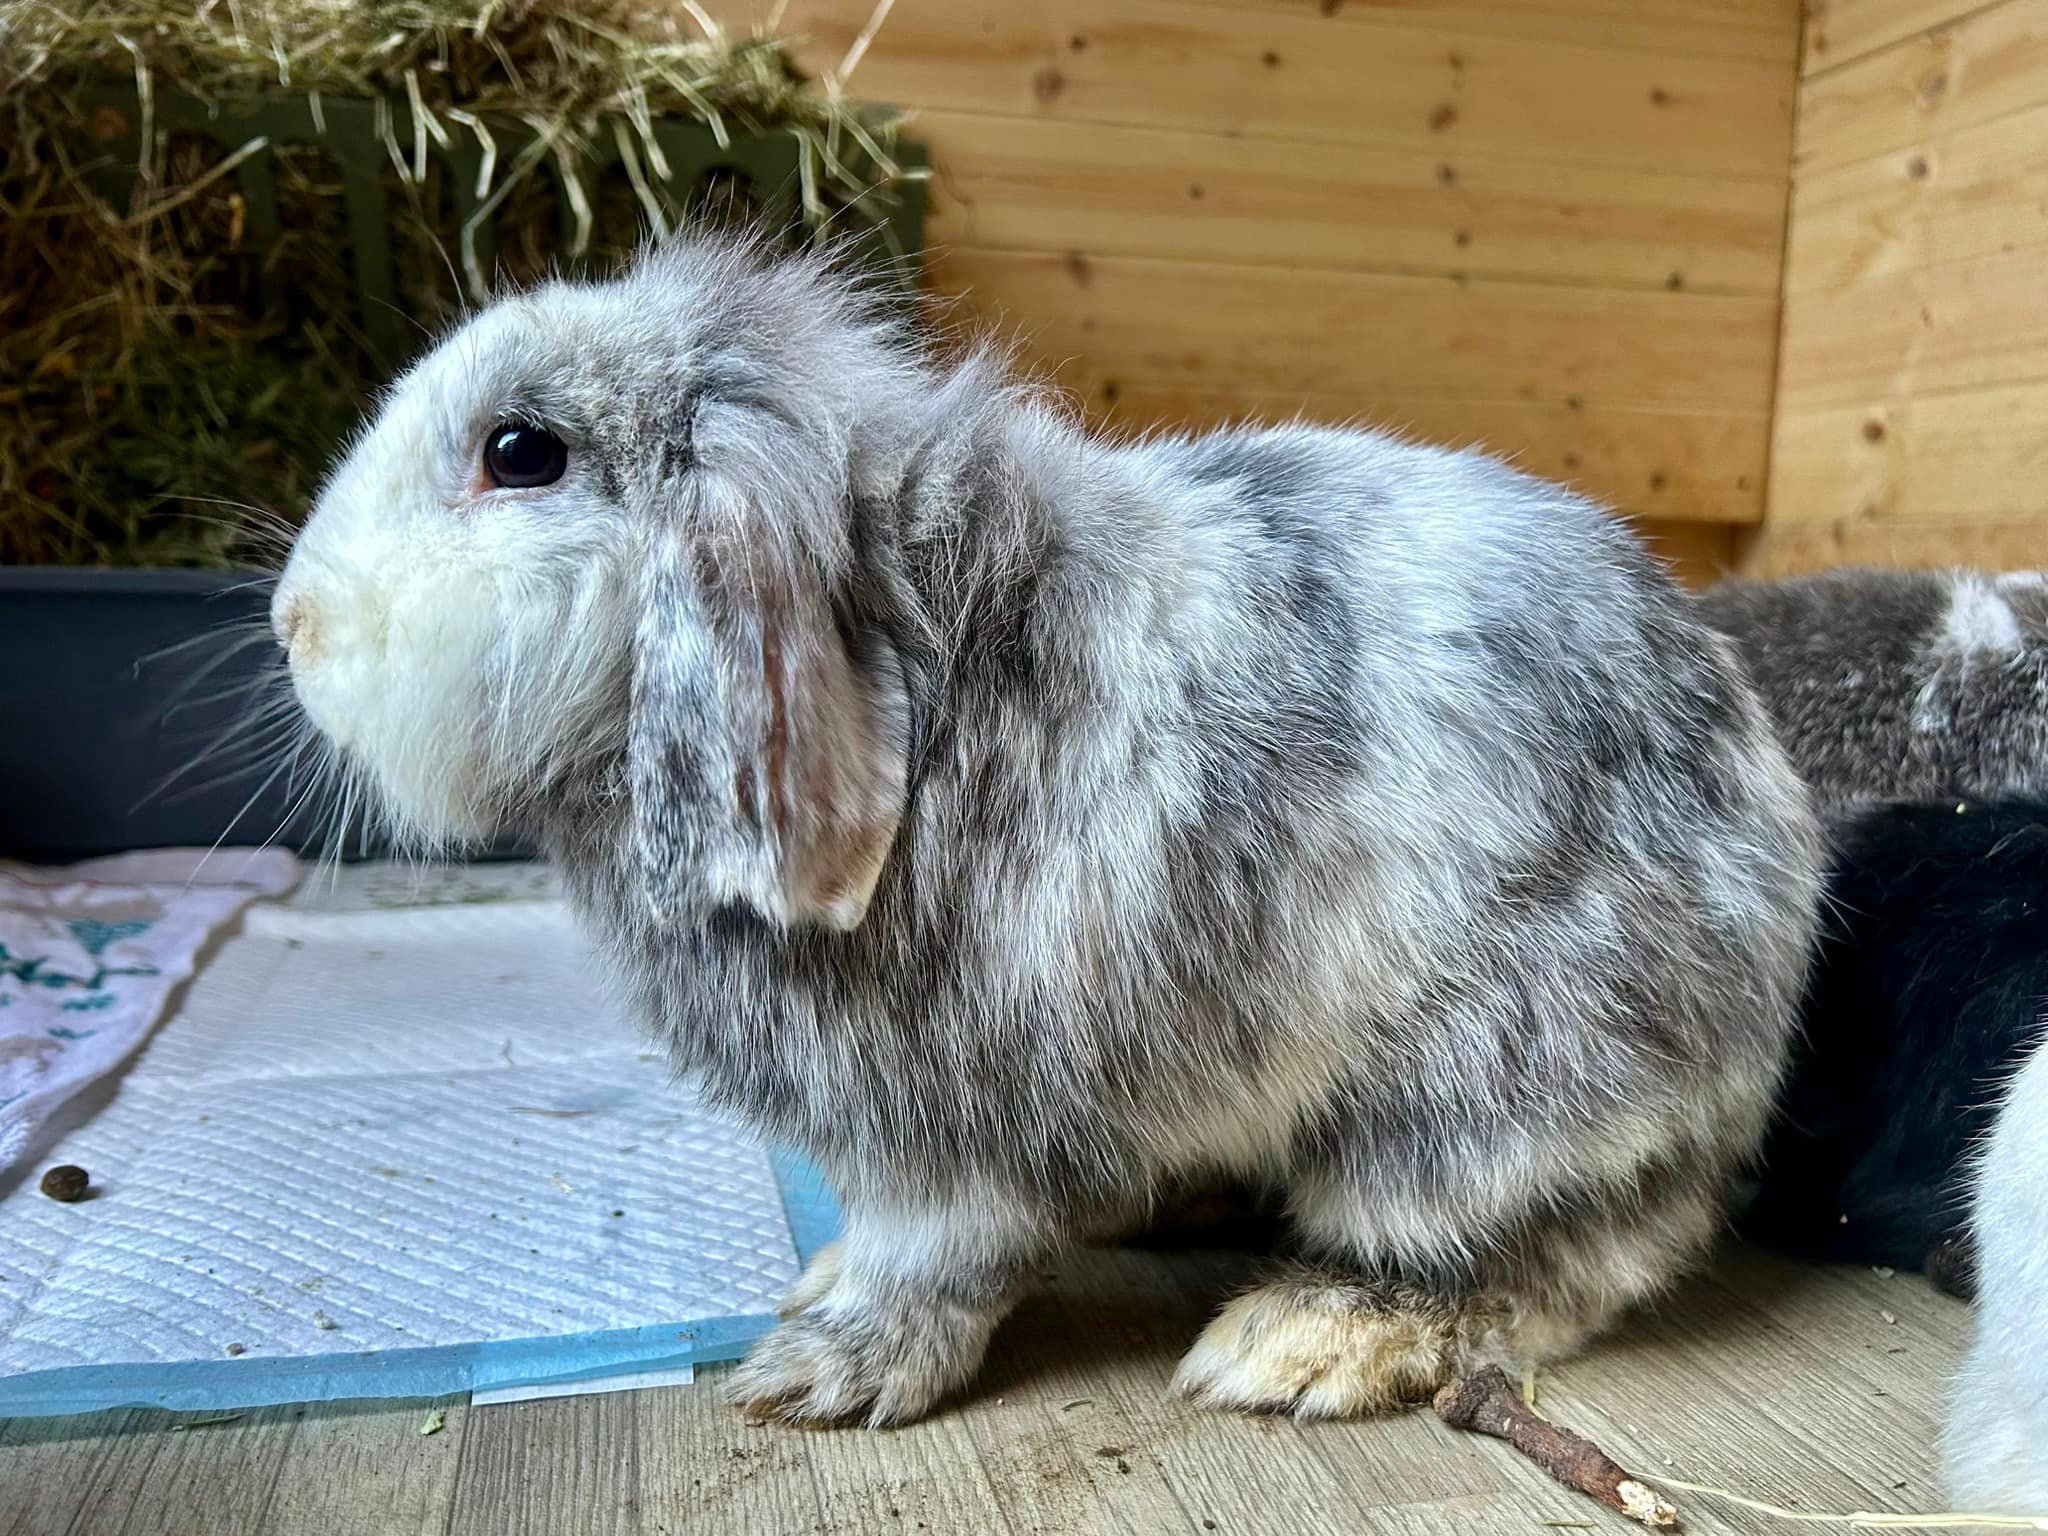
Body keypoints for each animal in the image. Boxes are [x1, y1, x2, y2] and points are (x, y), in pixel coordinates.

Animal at [269, 232, 1823, 1427]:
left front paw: (823, 1370)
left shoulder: (946, 1132)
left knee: (1562, 1256)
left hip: (1480, 1099)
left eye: (519, 452)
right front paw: (816, 1296)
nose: (292, 623)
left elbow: (932, 1261)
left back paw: (1300, 1341)